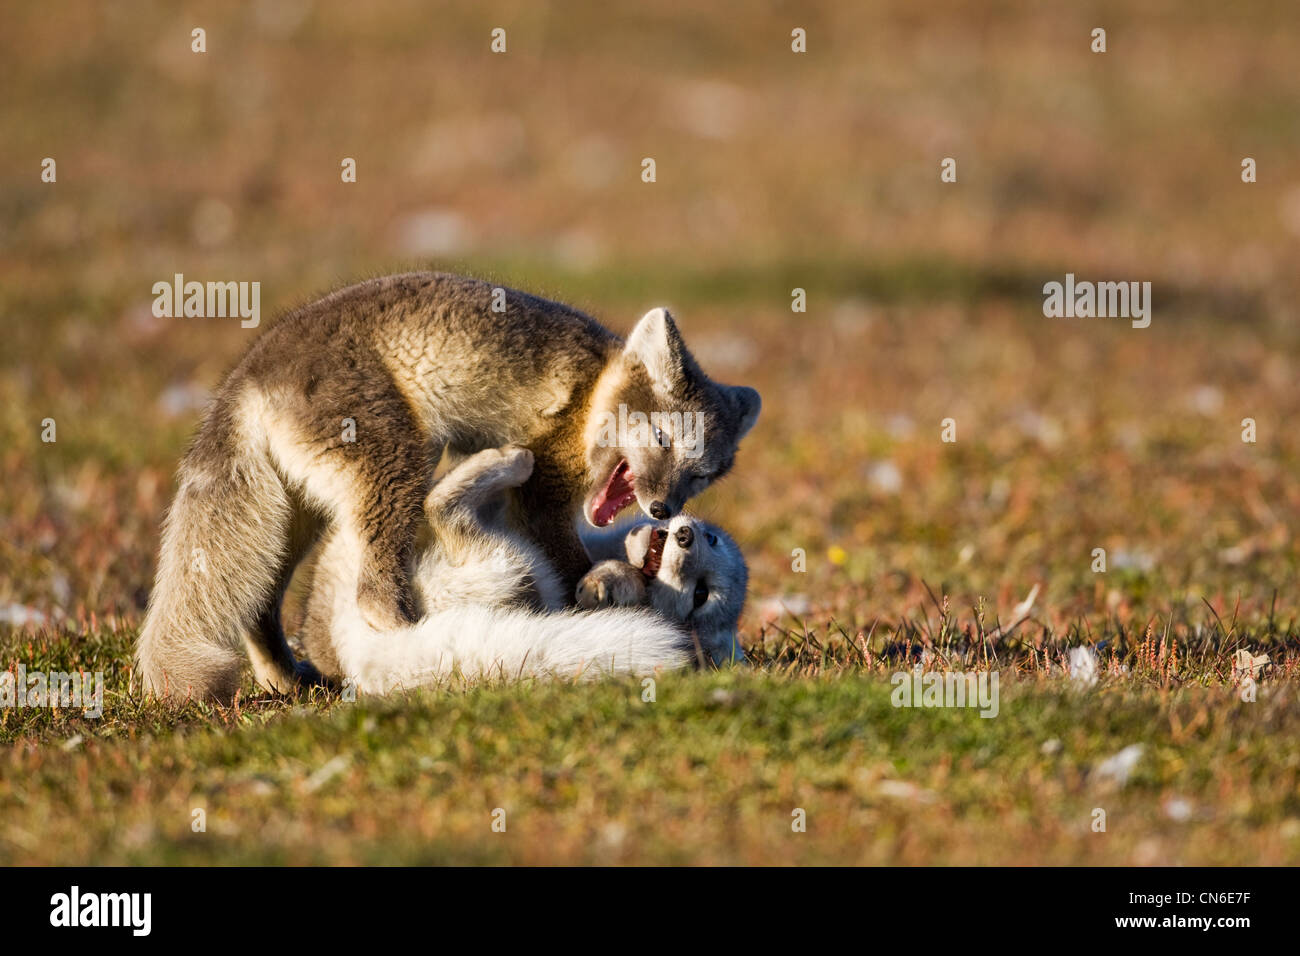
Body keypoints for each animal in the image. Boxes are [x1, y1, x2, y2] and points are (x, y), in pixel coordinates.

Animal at [298, 444, 748, 693]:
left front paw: (607, 584)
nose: (686, 535)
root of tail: (353, 649)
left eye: (701, 595)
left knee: (442, 509)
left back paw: (505, 462)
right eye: (712, 539)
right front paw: (605, 578)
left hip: (517, 565)